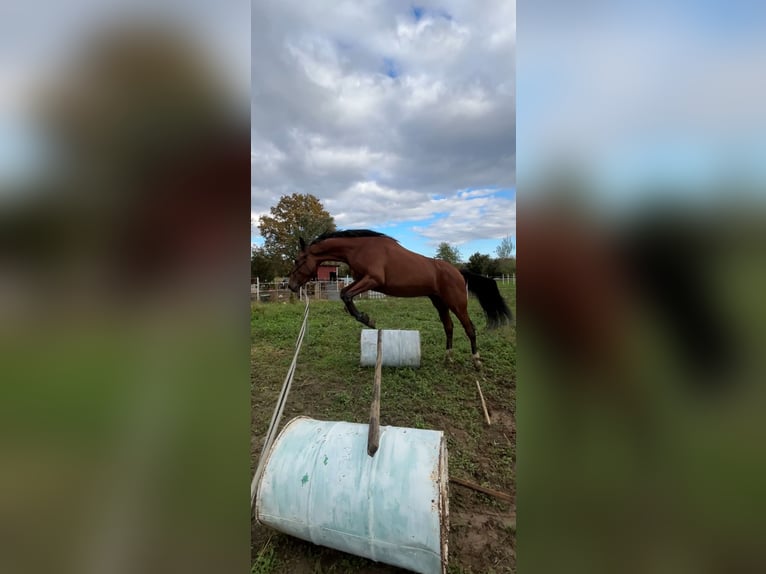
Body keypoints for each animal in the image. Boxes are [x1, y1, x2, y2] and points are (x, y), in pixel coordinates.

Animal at [284, 230, 512, 368]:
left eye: (298, 260)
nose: (291, 285)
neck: (360, 248)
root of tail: (458, 271)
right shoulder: (361, 280)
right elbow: (344, 294)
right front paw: (365, 318)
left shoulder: (372, 279)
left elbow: (346, 295)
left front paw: (368, 320)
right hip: (439, 303)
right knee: (449, 327)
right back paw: (448, 358)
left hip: (457, 304)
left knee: (470, 328)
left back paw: (476, 361)